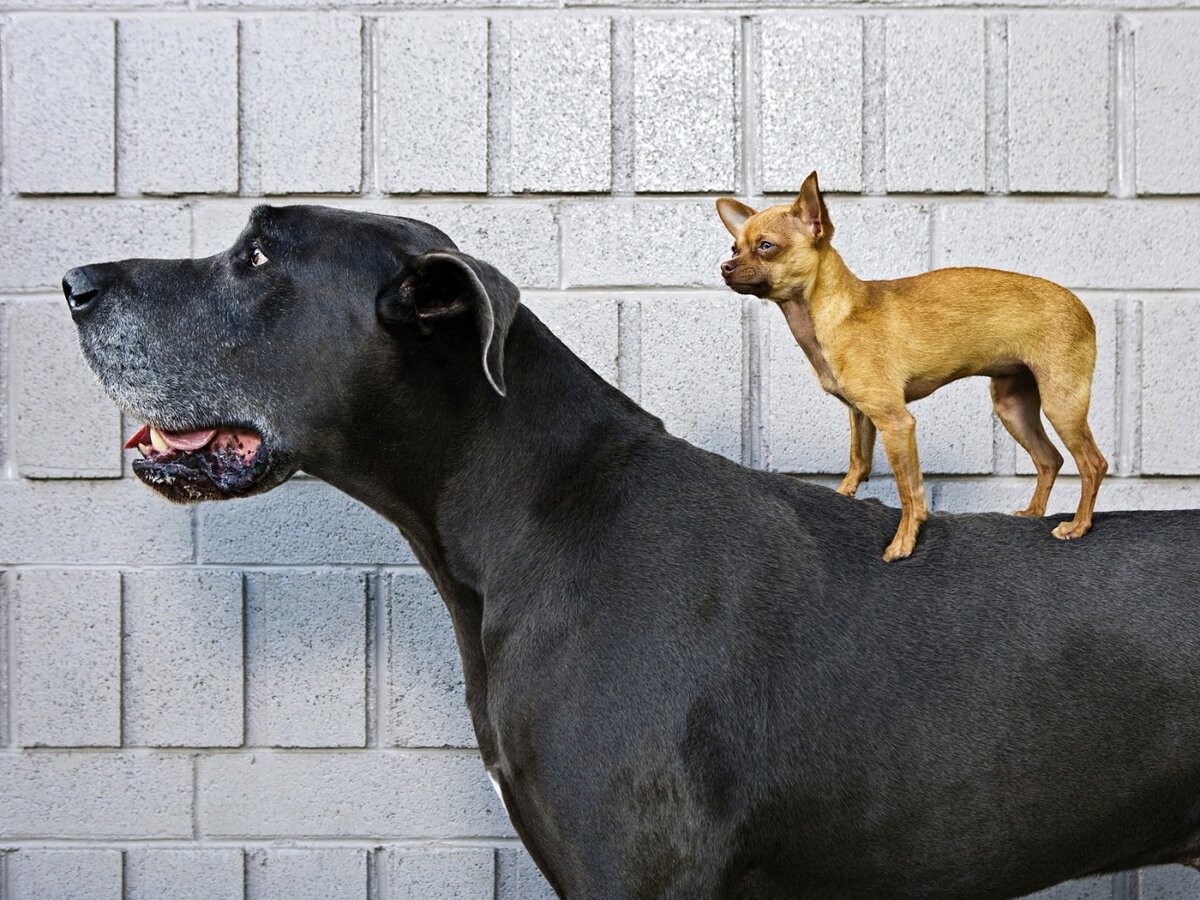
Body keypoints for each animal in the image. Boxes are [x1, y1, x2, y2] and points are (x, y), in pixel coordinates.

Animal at [715, 171, 1108, 561]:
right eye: (735, 248)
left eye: (766, 246)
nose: (724, 267)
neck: (830, 313)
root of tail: (1082, 306)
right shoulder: (862, 415)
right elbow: (859, 462)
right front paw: (843, 495)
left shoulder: (896, 423)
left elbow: (910, 491)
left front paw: (904, 542)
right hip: (1013, 407)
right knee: (1049, 459)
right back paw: (1033, 513)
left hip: (1061, 404)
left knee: (1093, 463)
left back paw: (1078, 525)